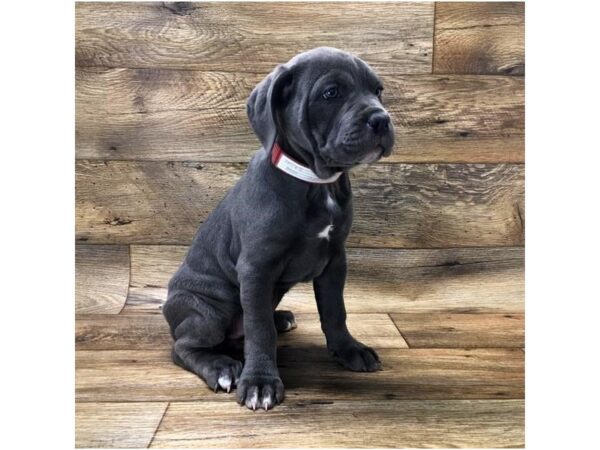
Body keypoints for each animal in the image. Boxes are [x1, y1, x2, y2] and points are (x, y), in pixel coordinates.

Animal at [162, 46, 394, 412]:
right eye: (331, 93)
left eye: (378, 91)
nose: (381, 119)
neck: (315, 183)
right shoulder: (256, 269)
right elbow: (259, 330)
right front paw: (260, 383)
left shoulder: (335, 260)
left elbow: (335, 311)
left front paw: (348, 350)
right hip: (208, 308)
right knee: (184, 347)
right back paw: (221, 368)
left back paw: (280, 318)